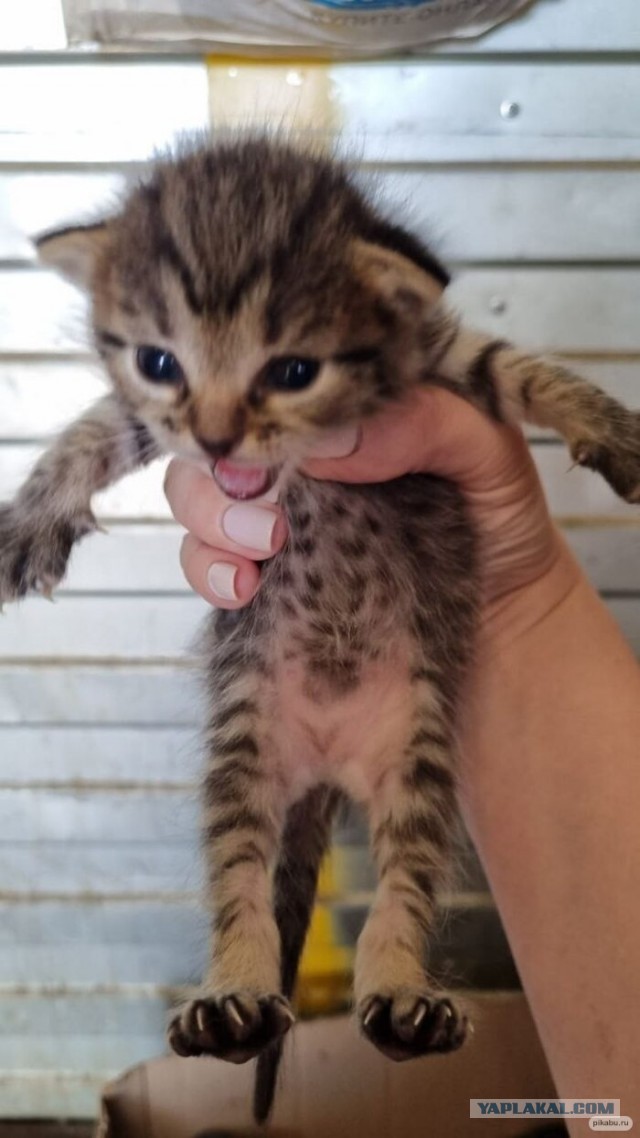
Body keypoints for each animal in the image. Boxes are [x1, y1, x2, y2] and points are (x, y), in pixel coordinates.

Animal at [1, 135, 637, 1119]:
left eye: (294, 371)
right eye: (158, 361)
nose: (218, 441)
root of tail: (330, 770)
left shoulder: (438, 352)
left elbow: (517, 367)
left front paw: (614, 429)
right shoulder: (166, 429)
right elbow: (99, 428)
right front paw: (33, 515)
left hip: (419, 749)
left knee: (405, 881)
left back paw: (405, 995)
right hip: (244, 744)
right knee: (240, 881)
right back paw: (232, 994)